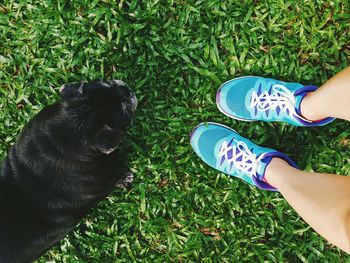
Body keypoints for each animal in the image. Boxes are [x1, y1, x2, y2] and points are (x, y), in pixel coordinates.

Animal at [0, 80, 137, 263]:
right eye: (125, 111)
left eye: (104, 82)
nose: (126, 89)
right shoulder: (103, 180)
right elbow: (113, 175)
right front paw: (125, 177)